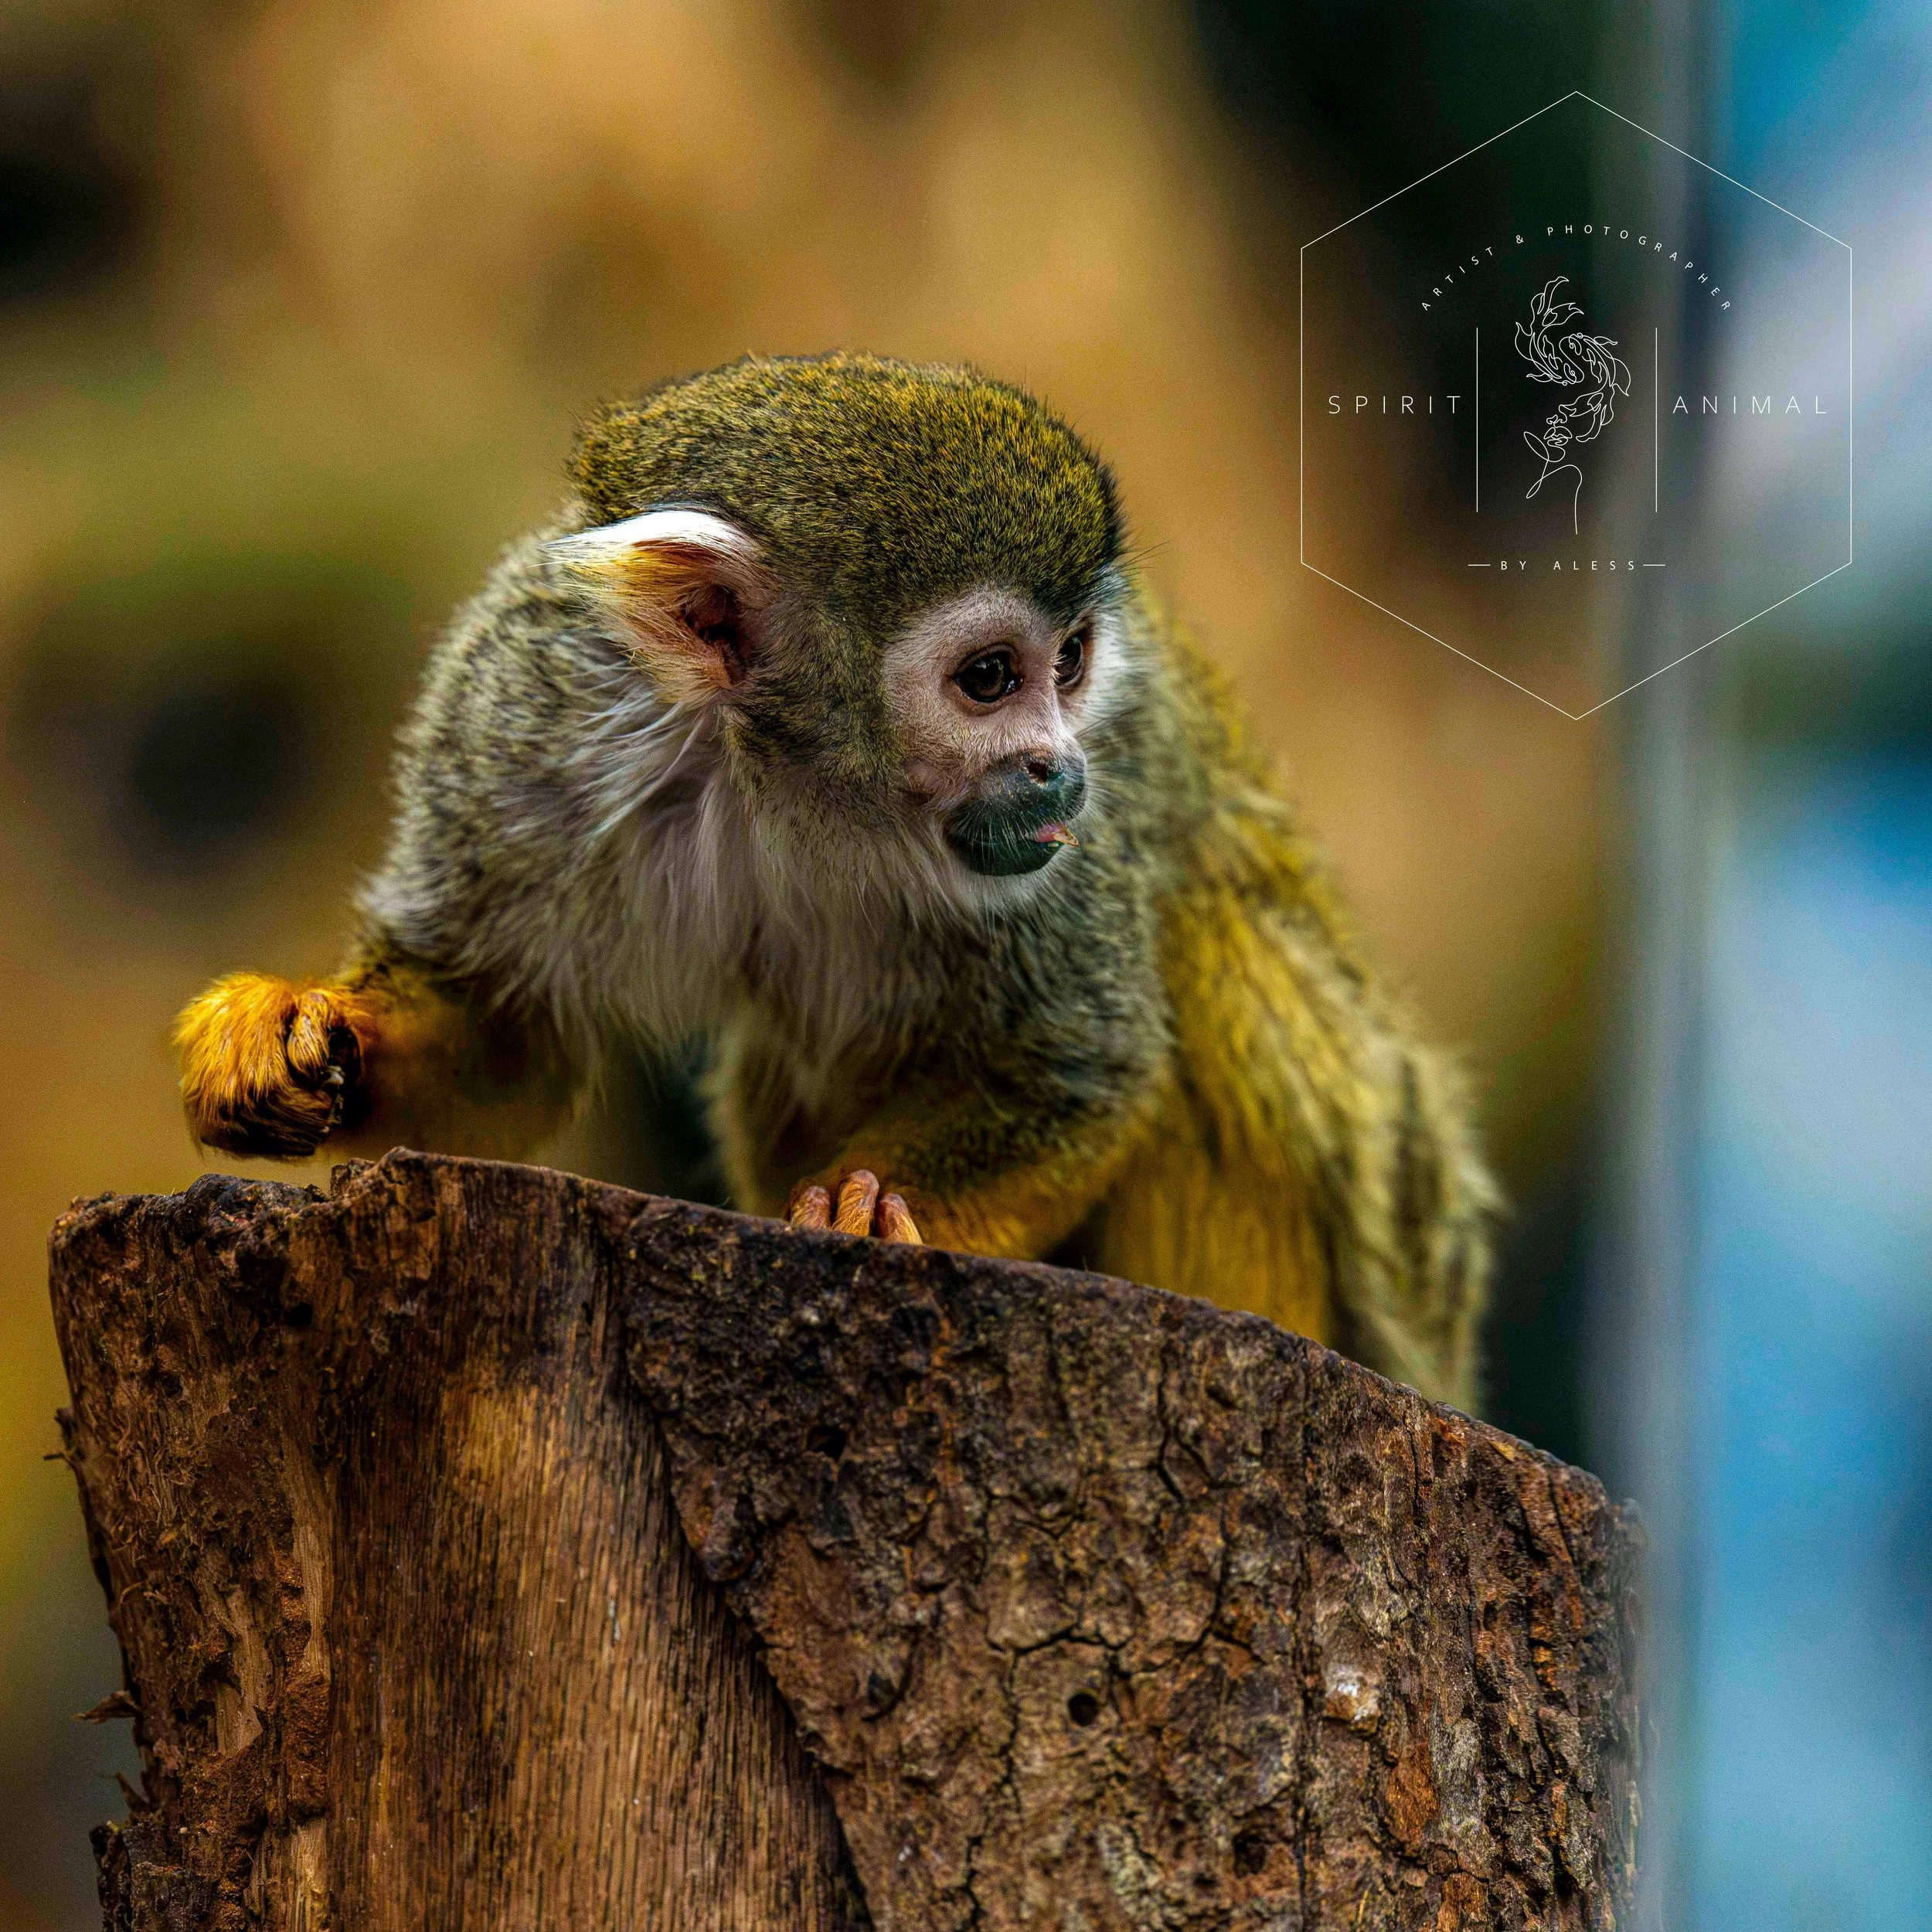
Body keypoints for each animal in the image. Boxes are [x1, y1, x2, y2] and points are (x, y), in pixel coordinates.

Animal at [173, 353, 1495, 1408]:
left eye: (1072, 664)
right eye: (988, 678)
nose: (1060, 768)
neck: (783, 766)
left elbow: (1082, 1072)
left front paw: (880, 1210)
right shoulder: (523, 698)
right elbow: (504, 1036)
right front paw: (292, 1028)